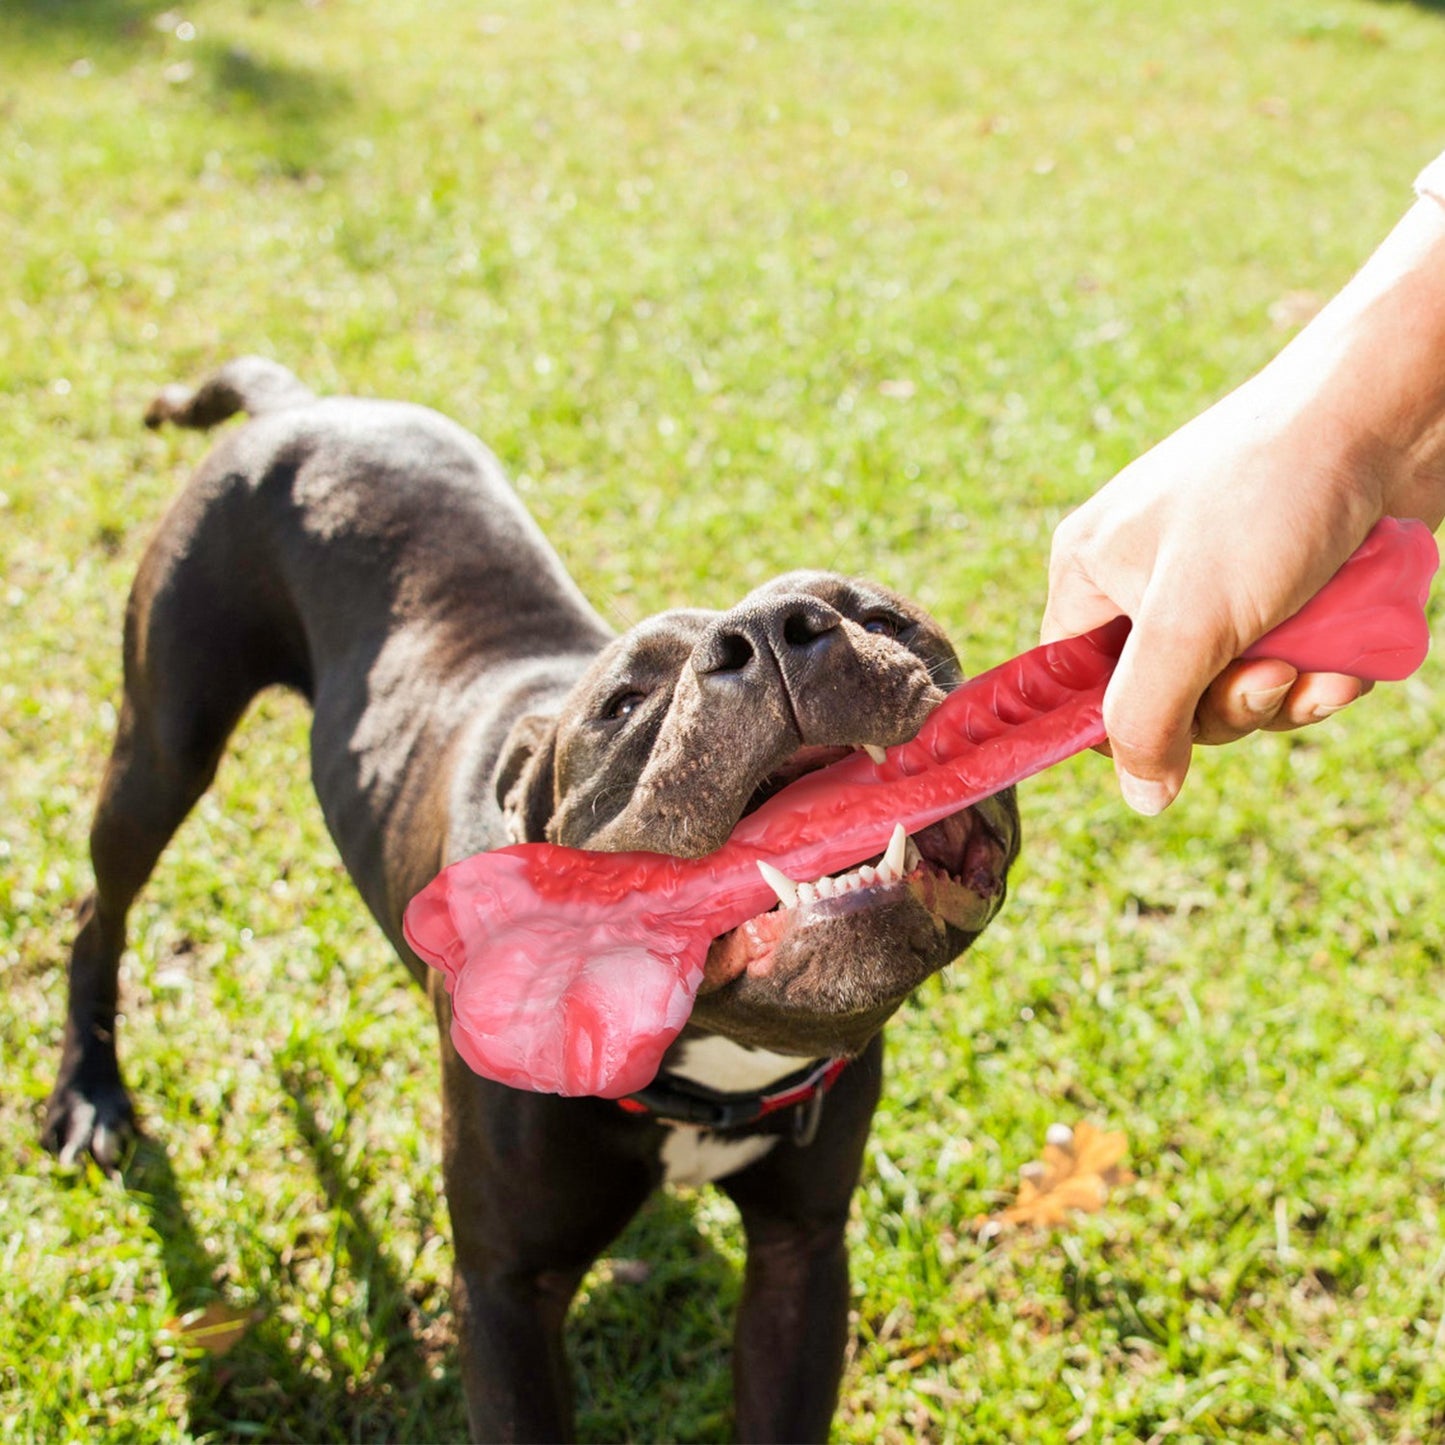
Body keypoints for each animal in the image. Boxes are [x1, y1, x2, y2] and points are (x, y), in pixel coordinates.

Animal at [42, 355, 1017, 1439]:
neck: (710, 1060)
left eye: (881, 618)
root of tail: (298, 406)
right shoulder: (507, 1289)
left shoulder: (800, 1255)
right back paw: (90, 1093)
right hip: (165, 742)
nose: (769, 629)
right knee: (98, 910)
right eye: (621, 704)